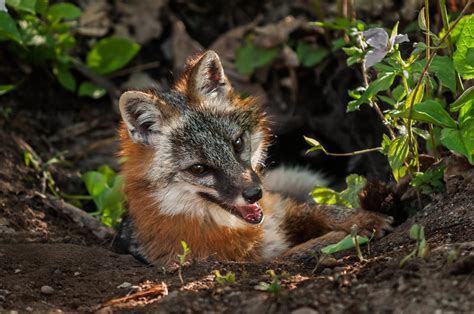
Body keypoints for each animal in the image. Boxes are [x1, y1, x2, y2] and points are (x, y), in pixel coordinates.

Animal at [112, 51, 392, 264]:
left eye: (237, 144)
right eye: (199, 168)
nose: (254, 194)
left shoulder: (282, 207)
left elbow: (323, 210)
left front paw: (362, 218)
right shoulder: (251, 262)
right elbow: (302, 250)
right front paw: (351, 234)